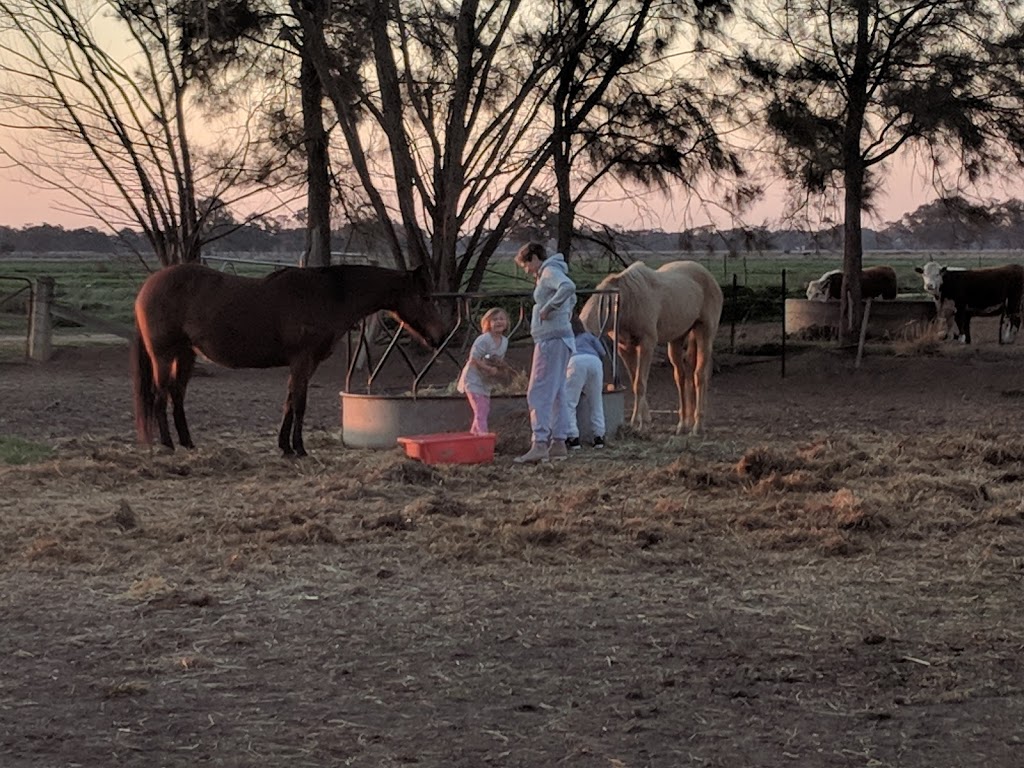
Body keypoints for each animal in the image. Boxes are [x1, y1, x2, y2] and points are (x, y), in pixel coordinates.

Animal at [131, 264, 444, 456]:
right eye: (425, 297)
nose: (438, 337)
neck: (326, 296)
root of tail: (148, 286)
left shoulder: (305, 363)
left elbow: (290, 401)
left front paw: (285, 446)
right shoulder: (302, 360)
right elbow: (300, 403)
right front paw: (299, 447)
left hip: (186, 354)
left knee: (176, 395)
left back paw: (187, 443)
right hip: (164, 355)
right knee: (160, 395)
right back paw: (168, 444)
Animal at [581, 262, 724, 436]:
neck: (624, 300)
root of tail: (709, 277)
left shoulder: (646, 344)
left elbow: (640, 384)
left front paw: (637, 424)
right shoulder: (624, 348)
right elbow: (635, 382)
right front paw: (645, 422)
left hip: (704, 332)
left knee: (700, 375)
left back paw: (698, 426)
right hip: (677, 339)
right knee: (682, 377)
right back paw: (683, 424)